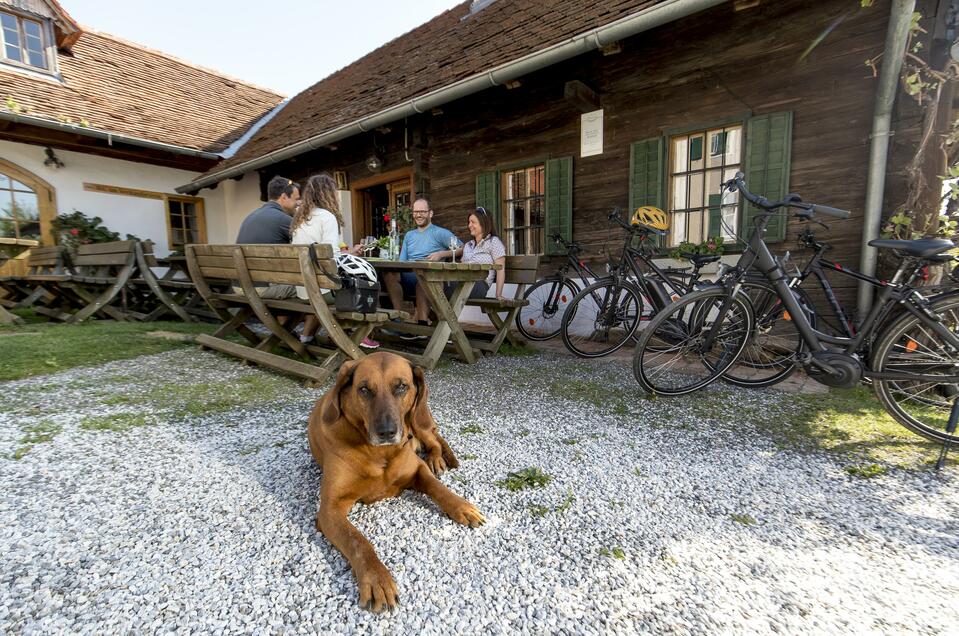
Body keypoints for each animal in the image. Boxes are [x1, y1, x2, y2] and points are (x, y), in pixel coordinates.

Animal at [310, 350, 488, 612]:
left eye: (402, 386)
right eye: (364, 389)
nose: (386, 432)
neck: (380, 453)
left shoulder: (417, 469)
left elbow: (438, 487)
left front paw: (462, 506)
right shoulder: (330, 509)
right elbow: (358, 542)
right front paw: (377, 579)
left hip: (417, 418)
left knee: (434, 439)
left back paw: (437, 459)